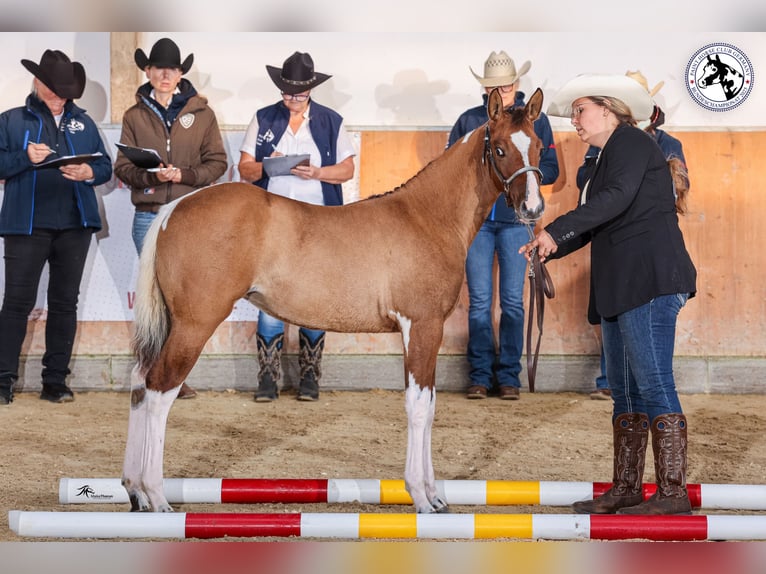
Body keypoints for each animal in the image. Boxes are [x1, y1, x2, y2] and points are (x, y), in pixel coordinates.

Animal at [122, 87, 545, 515]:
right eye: (501, 149)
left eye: (539, 146)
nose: (532, 209)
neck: (426, 216)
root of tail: (173, 209)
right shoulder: (422, 325)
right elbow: (418, 406)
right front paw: (422, 498)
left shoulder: (426, 331)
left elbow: (429, 403)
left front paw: (436, 496)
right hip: (194, 324)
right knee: (160, 389)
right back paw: (157, 496)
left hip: (173, 325)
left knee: (140, 382)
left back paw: (135, 491)